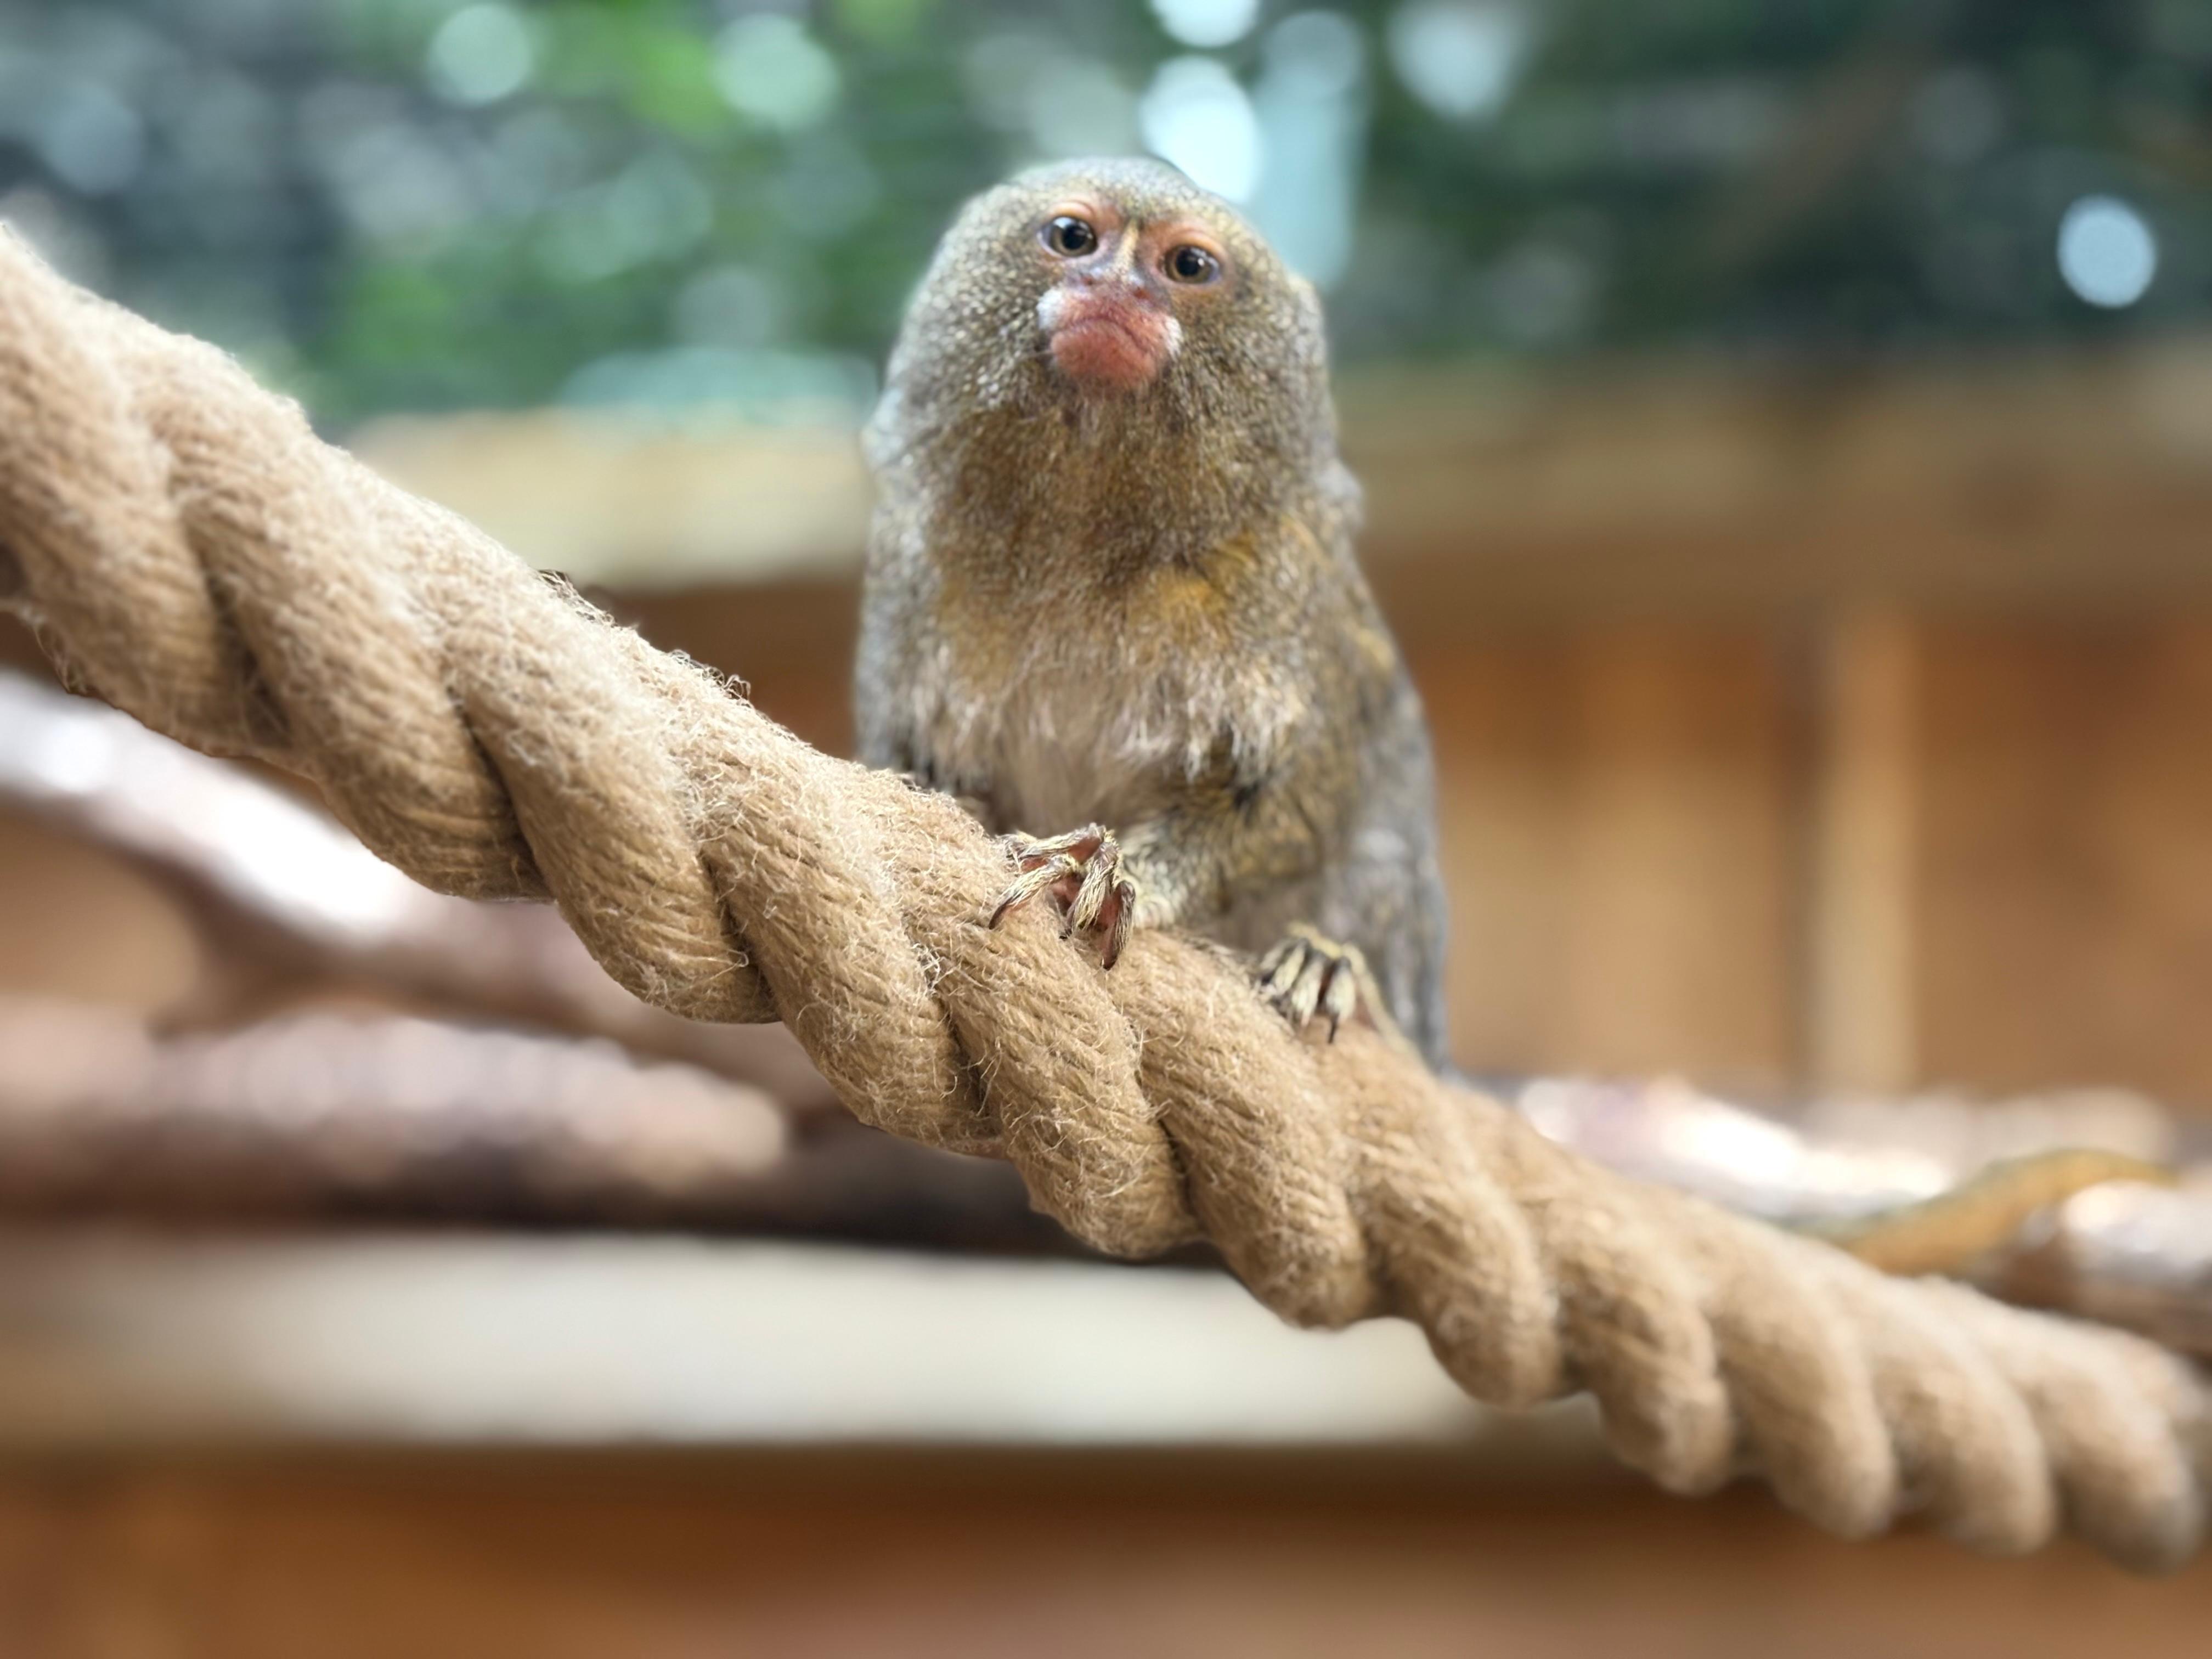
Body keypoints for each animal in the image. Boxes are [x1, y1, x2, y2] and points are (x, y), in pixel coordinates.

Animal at [855, 157, 1448, 1067]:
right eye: (1073, 238)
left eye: (1188, 266)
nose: (1115, 288)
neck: (1088, 542)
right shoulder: (912, 569)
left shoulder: (1289, 595)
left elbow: (1290, 804)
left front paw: (1107, 868)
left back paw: (1331, 971)